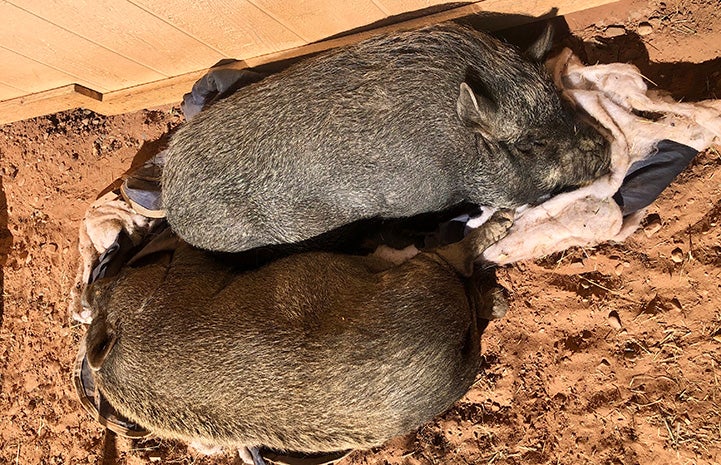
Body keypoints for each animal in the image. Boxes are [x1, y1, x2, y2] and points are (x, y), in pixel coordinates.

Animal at [83, 211, 512, 456]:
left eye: (104, 290)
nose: (91, 290)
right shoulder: (188, 278)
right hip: (418, 278)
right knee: (452, 256)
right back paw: (501, 228)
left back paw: (499, 297)